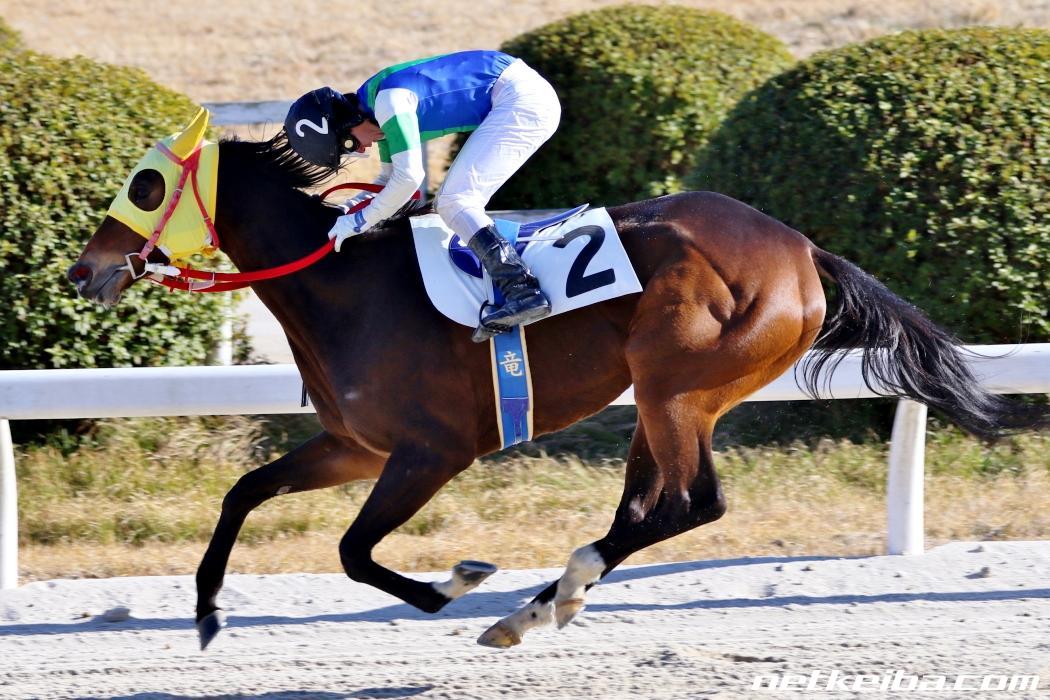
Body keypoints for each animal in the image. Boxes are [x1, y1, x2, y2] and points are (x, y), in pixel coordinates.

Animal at [69, 113, 1049, 651]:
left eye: (146, 184)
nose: (85, 271)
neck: (343, 286)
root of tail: (804, 250)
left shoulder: (430, 453)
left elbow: (351, 551)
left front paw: (454, 584)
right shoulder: (355, 446)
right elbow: (243, 492)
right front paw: (205, 613)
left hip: (676, 387)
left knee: (692, 505)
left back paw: (539, 600)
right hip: (665, 398)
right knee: (647, 506)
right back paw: (551, 601)